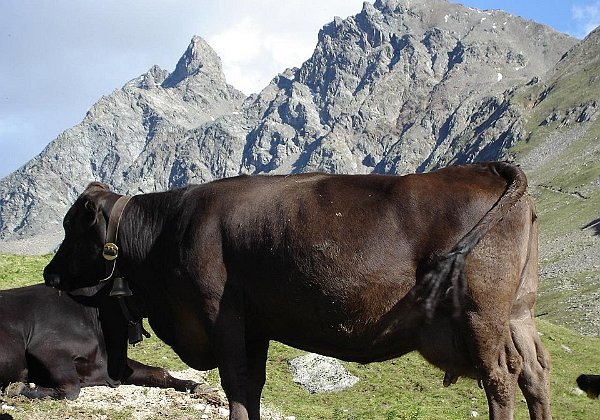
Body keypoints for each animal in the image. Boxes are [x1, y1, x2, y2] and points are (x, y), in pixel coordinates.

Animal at [0, 284, 205, 398]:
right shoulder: (47, 348)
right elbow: (71, 388)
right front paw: (18, 389)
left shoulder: (114, 365)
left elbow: (158, 372)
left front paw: (195, 385)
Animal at [44, 163, 552, 420]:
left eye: (71, 227)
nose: (49, 273)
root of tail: (486, 167)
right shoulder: (256, 327)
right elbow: (252, 387)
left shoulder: (220, 317)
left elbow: (235, 386)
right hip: (518, 313)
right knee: (534, 374)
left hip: (481, 315)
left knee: (501, 379)